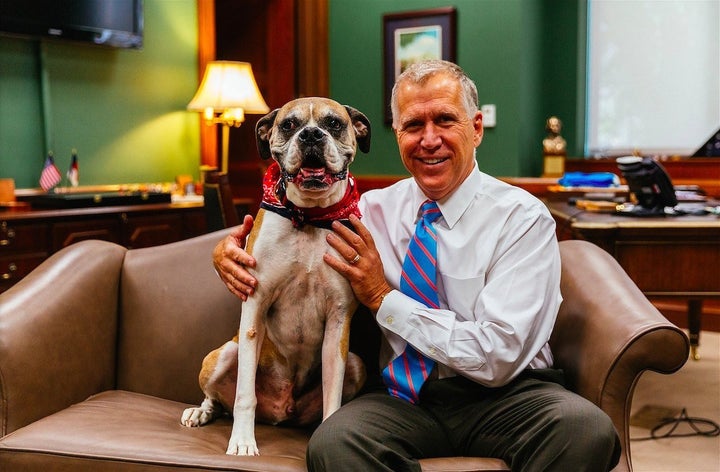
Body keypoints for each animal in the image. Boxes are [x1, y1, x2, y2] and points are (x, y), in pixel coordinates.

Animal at [180, 97, 372, 456]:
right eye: (288, 125)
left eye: (334, 124)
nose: (311, 135)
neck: (309, 216)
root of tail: (281, 410)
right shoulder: (255, 306)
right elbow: (244, 395)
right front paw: (242, 441)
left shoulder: (338, 321)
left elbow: (333, 396)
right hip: (222, 354)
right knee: (218, 398)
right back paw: (200, 411)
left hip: (356, 363)